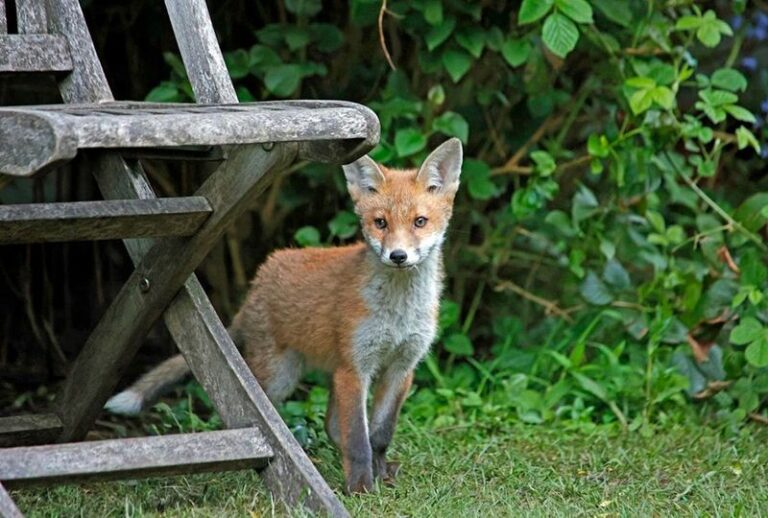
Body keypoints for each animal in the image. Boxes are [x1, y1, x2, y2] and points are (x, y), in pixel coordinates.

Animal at [105, 137, 463, 493]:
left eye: (419, 222)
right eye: (381, 223)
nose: (398, 256)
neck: (399, 311)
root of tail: (257, 284)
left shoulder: (401, 367)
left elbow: (380, 434)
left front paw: (380, 473)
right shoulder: (355, 368)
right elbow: (358, 441)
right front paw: (361, 488)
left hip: (326, 371)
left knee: (332, 425)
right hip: (280, 378)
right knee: (251, 414)